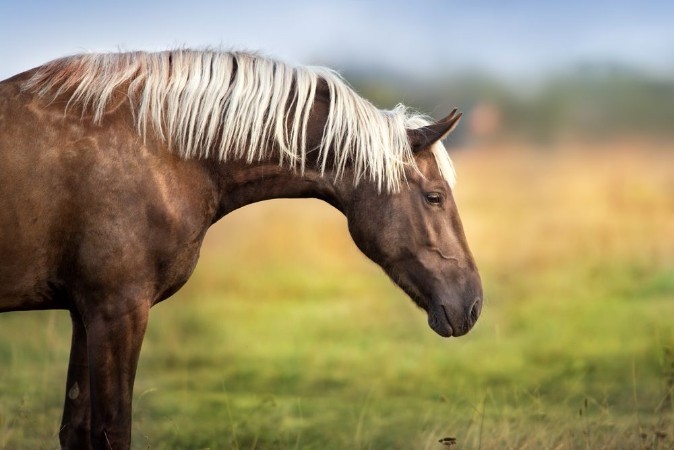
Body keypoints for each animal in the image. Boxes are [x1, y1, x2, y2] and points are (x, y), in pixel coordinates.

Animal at [0, 50, 482, 449]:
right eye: (434, 196)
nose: (473, 304)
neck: (161, 151)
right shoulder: (117, 310)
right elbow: (113, 431)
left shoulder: (84, 313)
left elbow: (76, 430)